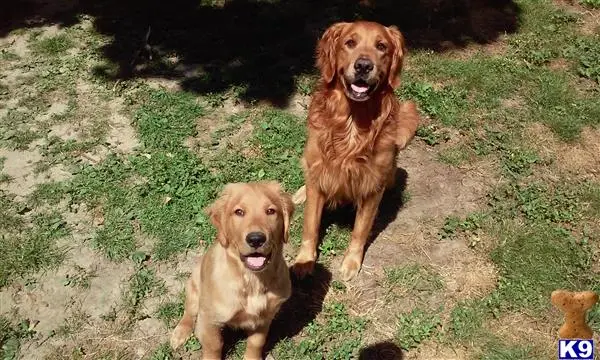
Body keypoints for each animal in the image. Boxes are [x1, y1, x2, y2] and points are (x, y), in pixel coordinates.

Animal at [170, 183, 294, 360]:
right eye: (239, 212)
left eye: (271, 211)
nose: (256, 239)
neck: (252, 280)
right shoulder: (209, 319)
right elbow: (214, 345)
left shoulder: (265, 317)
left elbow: (257, 342)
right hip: (193, 286)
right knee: (189, 311)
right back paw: (180, 333)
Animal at [292, 21, 420, 282]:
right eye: (350, 42)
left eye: (381, 46)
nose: (363, 65)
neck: (352, 123)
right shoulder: (319, 176)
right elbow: (310, 225)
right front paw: (303, 260)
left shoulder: (372, 185)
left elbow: (360, 230)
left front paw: (351, 262)